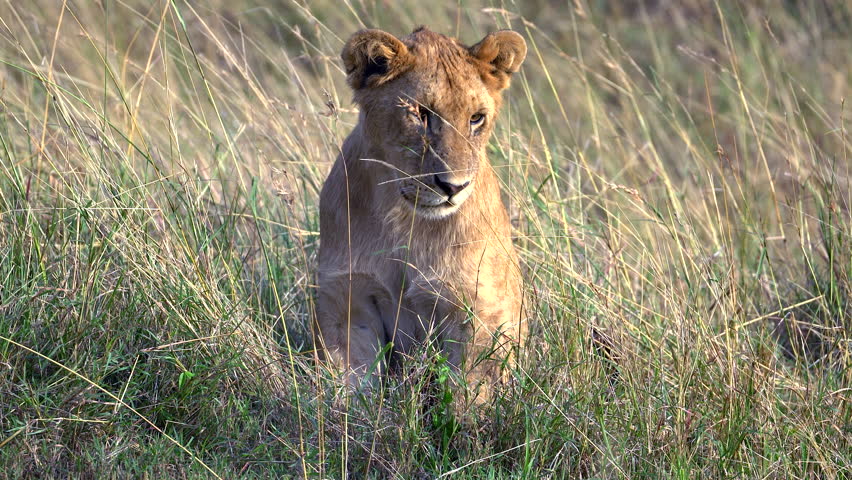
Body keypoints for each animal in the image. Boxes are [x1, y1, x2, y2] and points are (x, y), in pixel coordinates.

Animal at [316, 26, 526, 402]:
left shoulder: (476, 309)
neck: (405, 221)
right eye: (420, 113)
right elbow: (352, 389)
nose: (453, 186)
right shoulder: (346, 301)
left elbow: (468, 396)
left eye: (476, 118)